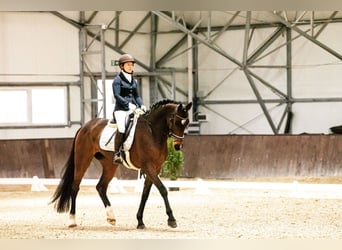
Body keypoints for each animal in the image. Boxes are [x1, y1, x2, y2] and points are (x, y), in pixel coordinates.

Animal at [49, 99, 192, 229]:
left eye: (187, 123)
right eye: (176, 122)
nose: (178, 146)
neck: (152, 132)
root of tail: (85, 126)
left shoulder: (156, 168)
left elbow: (145, 194)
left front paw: (140, 221)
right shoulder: (148, 167)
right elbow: (163, 190)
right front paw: (171, 220)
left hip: (109, 165)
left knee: (101, 187)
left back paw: (111, 217)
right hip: (83, 159)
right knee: (75, 186)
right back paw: (72, 220)